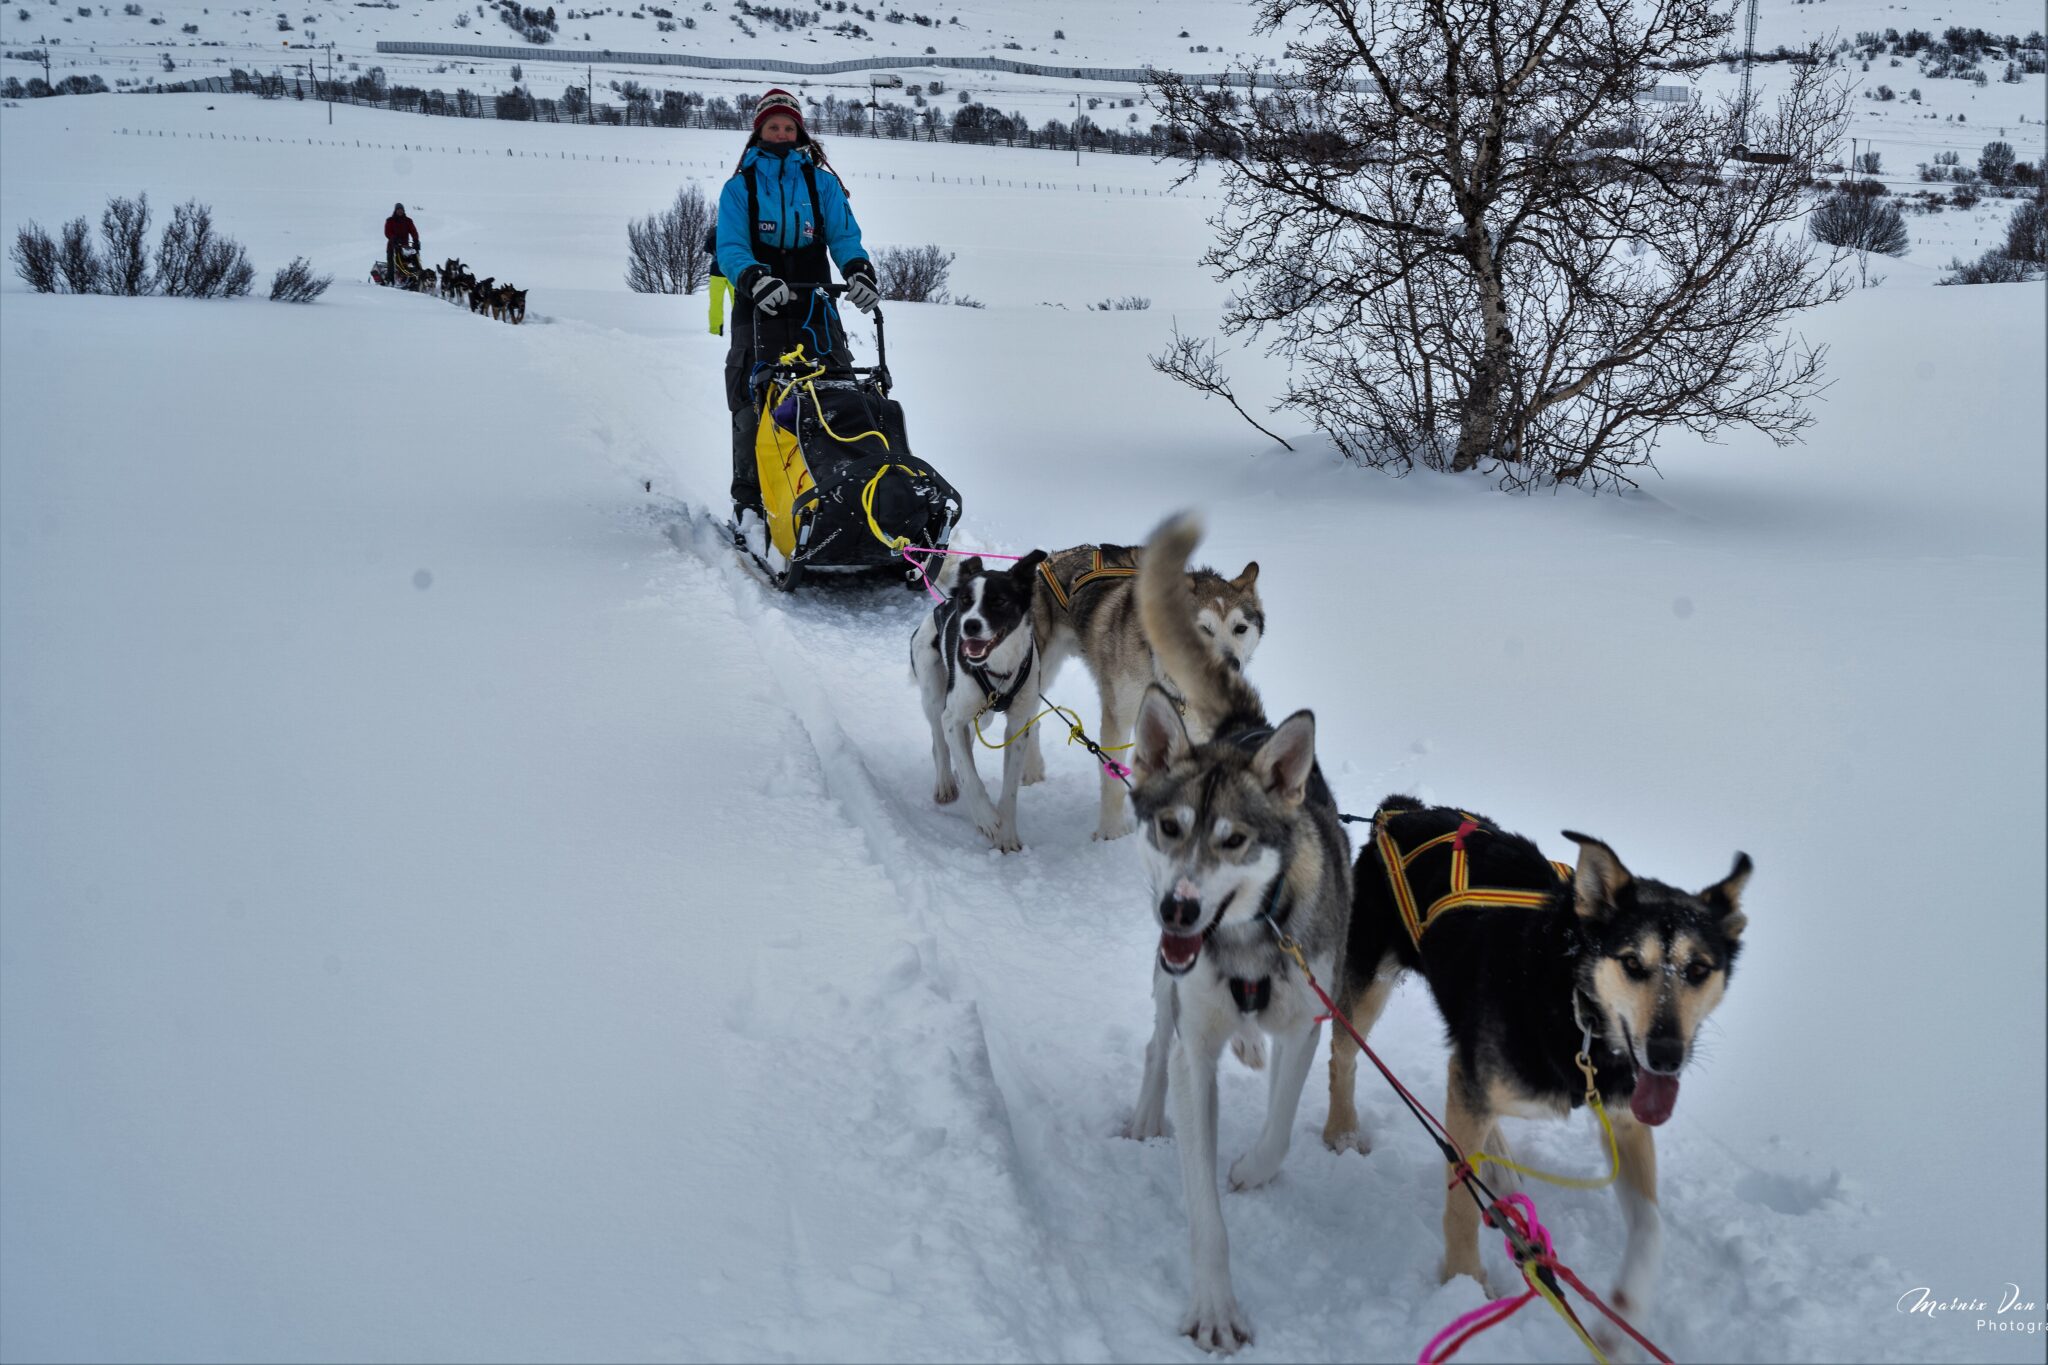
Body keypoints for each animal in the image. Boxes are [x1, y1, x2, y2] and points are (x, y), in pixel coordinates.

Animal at [905, 548, 1048, 847]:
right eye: (966, 601)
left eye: (999, 601)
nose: (970, 625)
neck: (998, 668)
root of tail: (941, 606)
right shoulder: (952, 717)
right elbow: (970, 775)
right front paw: (986, 817)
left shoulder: (1018, 726)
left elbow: (1009, 788)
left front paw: (1006, 834)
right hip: (934, 696)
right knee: (940, 743)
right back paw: (946, 783)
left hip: (983, 718)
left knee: (965, 741)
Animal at [1032, 544, 1253, 843]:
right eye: (1203, 629)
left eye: (1240, 629)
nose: (1231, 665)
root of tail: (1054, 556)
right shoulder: (1118, 716)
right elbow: (1112, 776)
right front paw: (1112, 831)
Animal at [1122, 515, 1343, 1358]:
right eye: (1171, 826)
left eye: (1234, 840)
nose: (1179, 912)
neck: (1247, 942)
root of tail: (1246, 728)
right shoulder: (1197, 1046)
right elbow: (1204, 1209)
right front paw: (1215, 1305)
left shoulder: (1310, 1017)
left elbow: (1280, 1123)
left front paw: (1251, 1167)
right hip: (1164, 981)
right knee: (1158, 1037)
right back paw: (1146, 1110)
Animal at [1335, 802, 1753, 1326]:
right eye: (1632, 963)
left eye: (1698, 969)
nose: (1665, 1055)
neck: (1572, 1004)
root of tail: (1400, 810)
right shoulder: (1480, 1083)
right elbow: (1461, 1202)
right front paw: (1463, 1281)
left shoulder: (1625, 1116)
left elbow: (1651, 1227)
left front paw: (1623, 1316)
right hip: (1369, 991)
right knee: (1343, 1055)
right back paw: (1341, 1132)